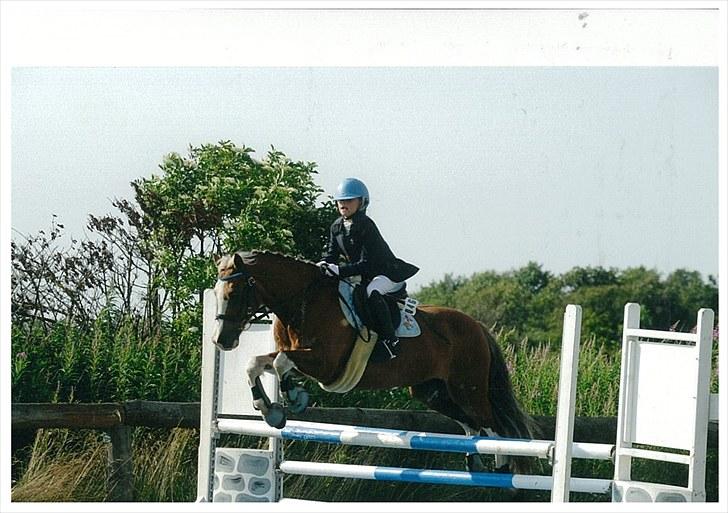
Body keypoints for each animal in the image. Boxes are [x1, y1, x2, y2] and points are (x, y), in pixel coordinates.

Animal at [210, 250, 536, 470]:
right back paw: (474, 461)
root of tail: (477, 326)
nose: (221, 340)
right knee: (472, 425)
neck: (303, 300)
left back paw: (500, 468)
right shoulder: (301, 359)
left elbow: (279, 364)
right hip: (432, 392)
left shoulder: (325, 364)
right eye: (215, 292)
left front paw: (292, 399)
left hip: (468, 386)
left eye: (235, 291)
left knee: (490, 424)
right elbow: (257, 363)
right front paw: (270, 410)